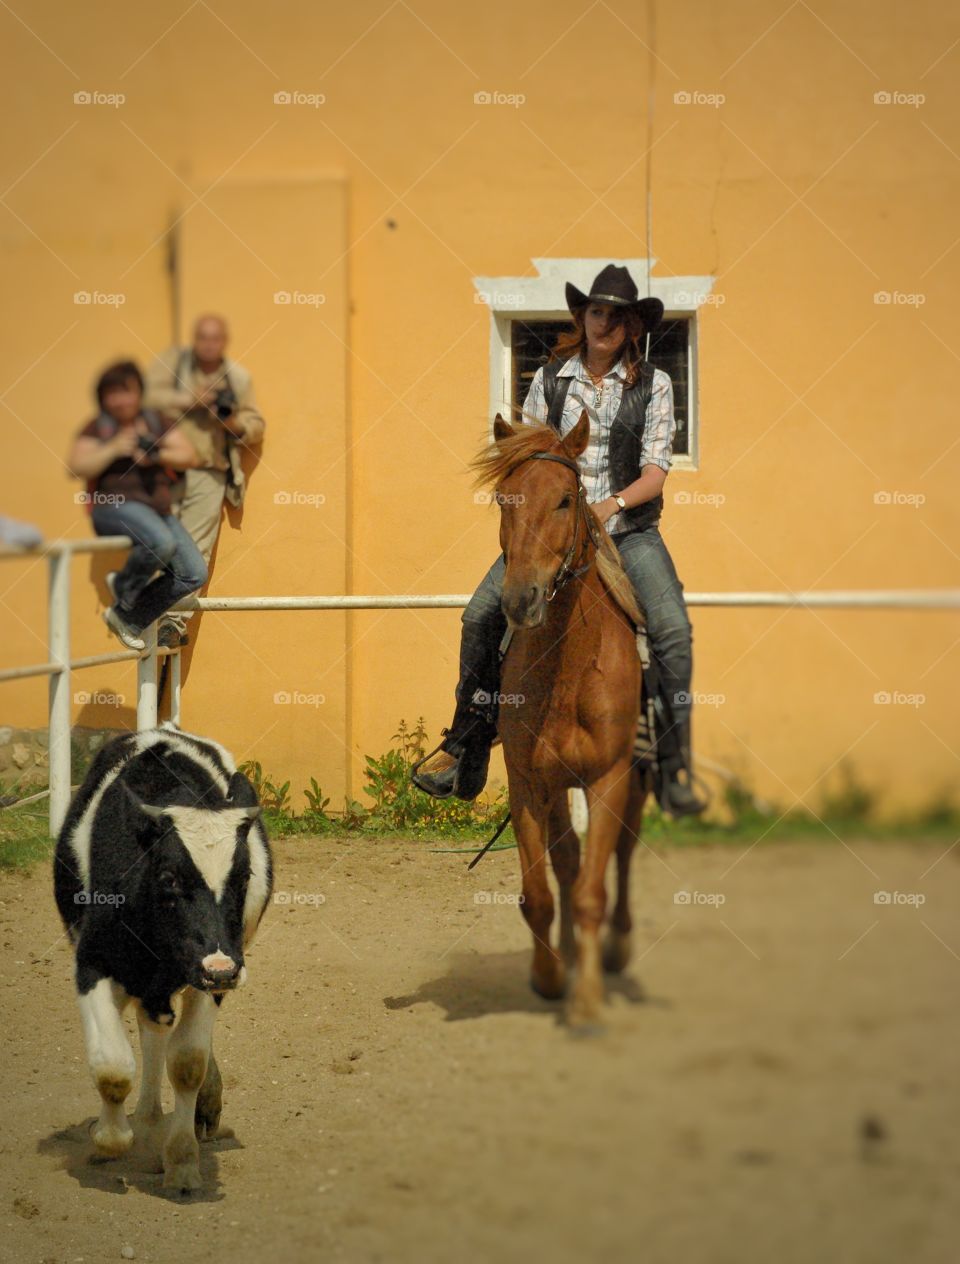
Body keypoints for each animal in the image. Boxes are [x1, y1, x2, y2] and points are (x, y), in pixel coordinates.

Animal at [54, 728, 271, 1188]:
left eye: (244, 875)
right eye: (169, 878)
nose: (223, 969)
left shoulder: (209, 975)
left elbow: (187, 1062)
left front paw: (182, 1158)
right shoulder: (91, 965)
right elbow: (113, 1067)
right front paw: (111, 1138)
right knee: (149, 1028)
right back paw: (146, 1118)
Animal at [478, 414, 647, 1026]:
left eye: (565, 500)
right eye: (503, 500)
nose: (521, 601)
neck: (569, 670)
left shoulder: (610, 779)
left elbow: (593, 890)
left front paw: (588, 1000)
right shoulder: (530, 784)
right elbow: (542, 894)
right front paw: (550, 977)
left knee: (621, 854)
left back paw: (616, 948)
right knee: (568, 861)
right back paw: (572, 954)